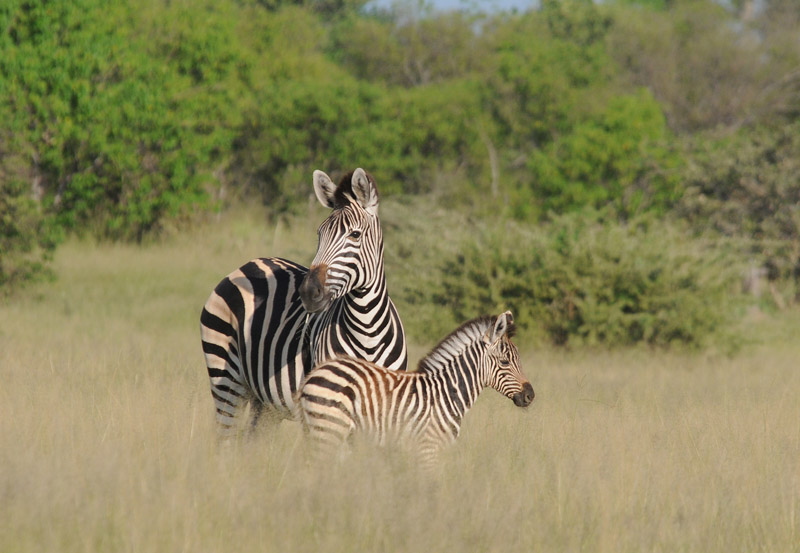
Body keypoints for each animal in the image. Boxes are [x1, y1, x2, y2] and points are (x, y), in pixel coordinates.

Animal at [296, 310, 536, 466]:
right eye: (505, 362)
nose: (530, 395)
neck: (447, 392)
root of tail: (314, 373)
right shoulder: (428, 448)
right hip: (329, 429)